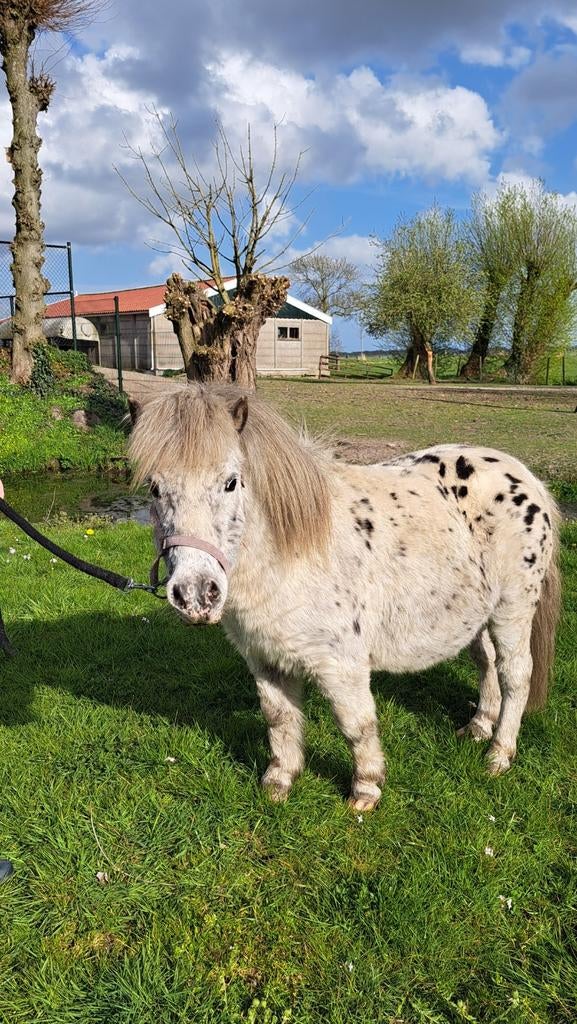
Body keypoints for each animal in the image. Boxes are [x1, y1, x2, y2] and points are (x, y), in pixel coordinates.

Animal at [129, 384, 560, 811]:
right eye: (154, 487)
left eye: (231, 482)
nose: (196, 594)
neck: (293, 555)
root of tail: (525, 477)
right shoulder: (265, 659)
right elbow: (279, 718)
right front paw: (279, 781)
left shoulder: (342, 664)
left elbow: (356, 724)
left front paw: (366, 789)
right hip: (477, 615)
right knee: (486, 663)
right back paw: (478, 727)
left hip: (512, 610)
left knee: (515, 674)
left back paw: (498, 754)